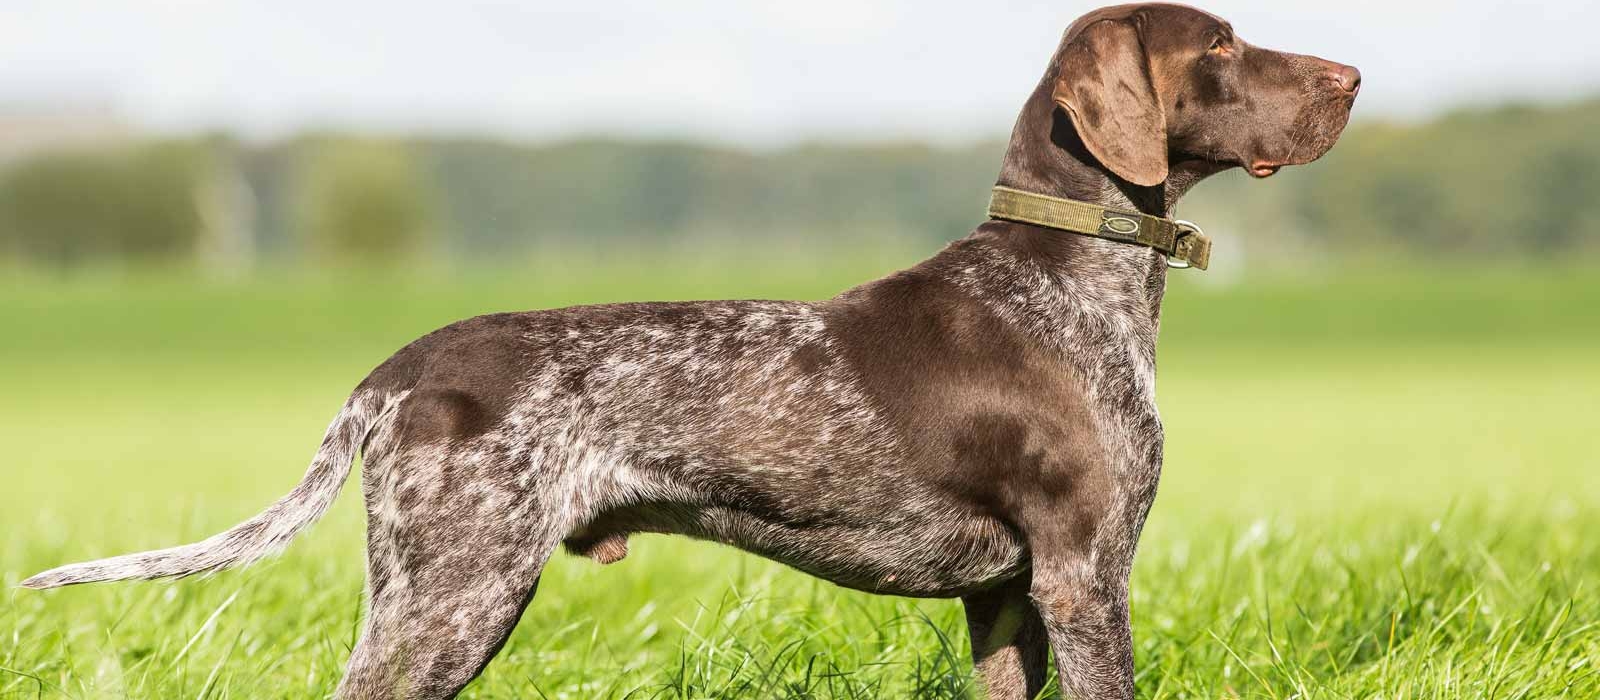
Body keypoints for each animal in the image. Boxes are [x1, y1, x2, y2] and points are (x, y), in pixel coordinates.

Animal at [18, 4, 1356, 693]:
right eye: (1219, 46)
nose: (1351, 72)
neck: (1066, 280)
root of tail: (398, 370)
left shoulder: (1005, 596)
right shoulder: (1084, 574)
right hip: (455, 593)